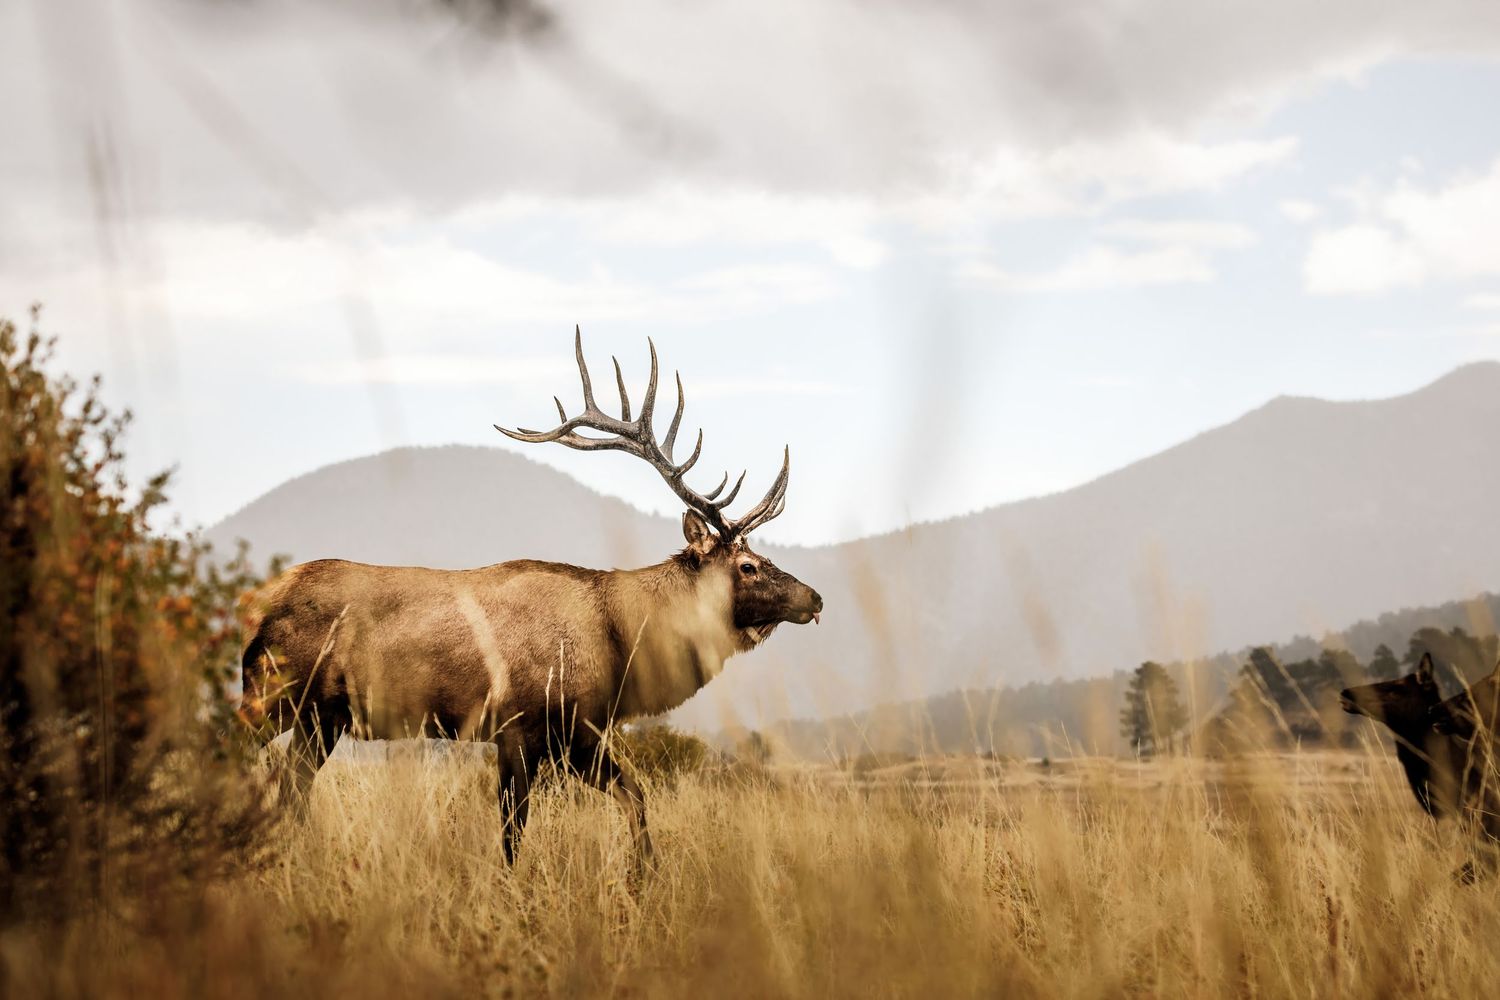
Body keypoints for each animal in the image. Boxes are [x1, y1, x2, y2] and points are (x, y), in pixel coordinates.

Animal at [239, 329, 824, 868]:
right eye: (747, 566)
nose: (815, 598)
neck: (622, 646)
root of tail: (255, 606)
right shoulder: (519, 728)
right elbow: (512, 835)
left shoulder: (579, 738)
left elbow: (636, 798)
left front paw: (644, 877)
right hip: (274, 695)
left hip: (320, 719)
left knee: (290, 787)